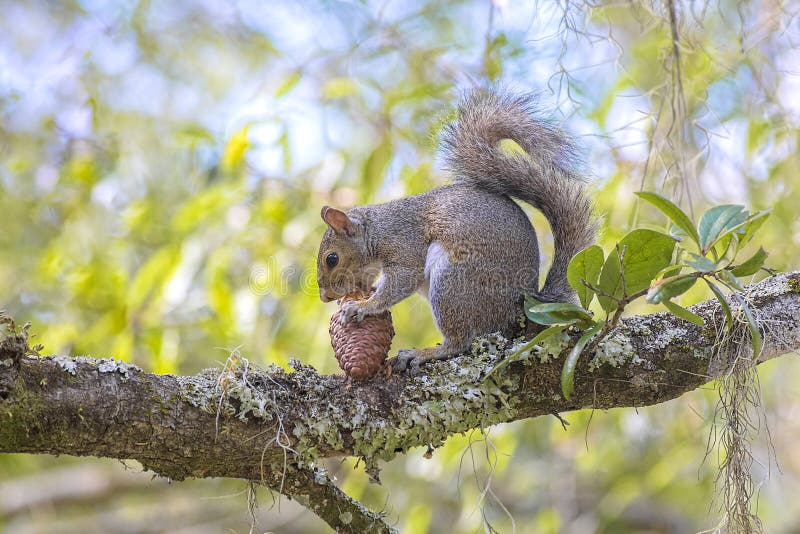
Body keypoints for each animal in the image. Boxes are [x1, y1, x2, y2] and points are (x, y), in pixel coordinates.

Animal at [316, 89, 596, 376]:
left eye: (331, 259)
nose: (326, 297)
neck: (377, 230)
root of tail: (520, 310)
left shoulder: (404, 242)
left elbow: (402, 280)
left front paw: (363, 306)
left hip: (454, 282)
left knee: (461, 341)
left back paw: (425, 353)